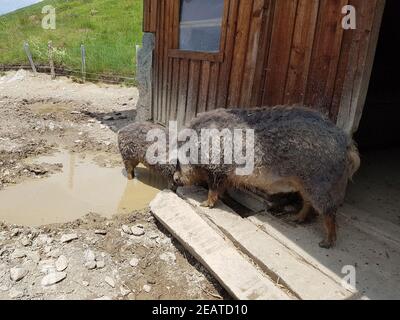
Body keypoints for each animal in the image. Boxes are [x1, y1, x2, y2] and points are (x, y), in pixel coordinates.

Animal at [173, 106, 360, 249]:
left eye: (178, 161)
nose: (174, 178)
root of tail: (347, 144)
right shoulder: (226, 174)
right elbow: (222, 188)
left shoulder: (217, 169)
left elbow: (213, 188)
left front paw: (204, 204)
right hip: (305, 185)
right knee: (308, 203)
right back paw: (294, 219)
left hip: (322, 184)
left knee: (329, 213)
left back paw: (324, 243)